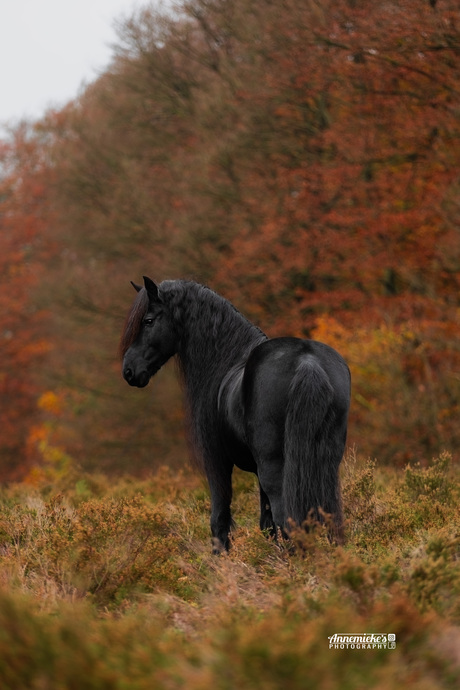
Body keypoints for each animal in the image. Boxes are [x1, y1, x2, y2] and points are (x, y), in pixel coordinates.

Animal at [120, 276, 350, 552]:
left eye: (148, 320)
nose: (129, 370)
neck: (226, 359)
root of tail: (308, 362)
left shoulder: (216, 461)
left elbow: (220, 519)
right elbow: (266, 524)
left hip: (275, 468)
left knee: (286, 520)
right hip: (323, 465)